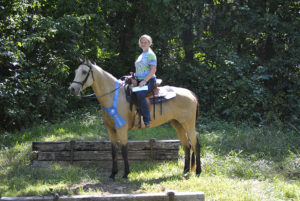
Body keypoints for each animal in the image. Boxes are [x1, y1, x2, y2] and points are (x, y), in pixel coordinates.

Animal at [68, 57, 202, 179]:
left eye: (84, 72)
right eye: (76, 71)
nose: (72, 89)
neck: (113, 96)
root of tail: (191, 93)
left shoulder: (121, 128)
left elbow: (124, 150)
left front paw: (126, 173)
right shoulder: (111, 129)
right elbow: (113, 151)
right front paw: (113, 174)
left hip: (189, 125)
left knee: (196, 145)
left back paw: (198, 172)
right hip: (178, 125)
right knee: (186, 146)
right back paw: (185, 171)